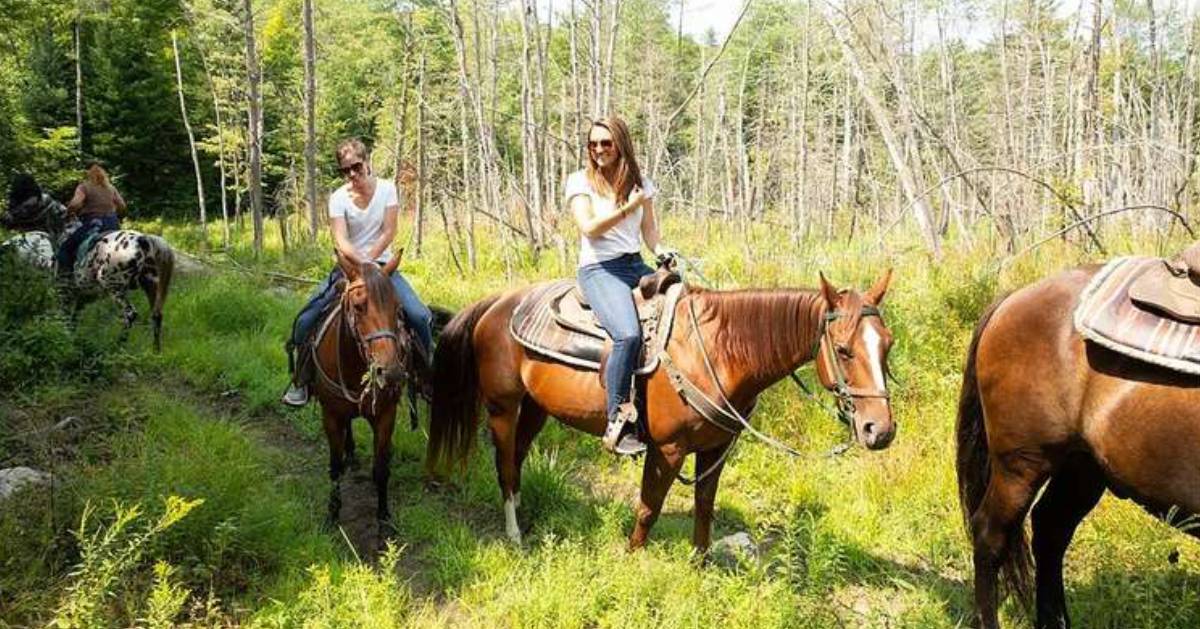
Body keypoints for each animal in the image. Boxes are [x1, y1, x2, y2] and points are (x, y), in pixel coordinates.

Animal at [0, 176, 174, 350]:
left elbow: (65, 320)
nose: (5, 219)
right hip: (150, 284)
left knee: (129, 315)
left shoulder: (64, 292)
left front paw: (65, 343)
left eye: (26, 205)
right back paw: (155, 351)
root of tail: (141, 239)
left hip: (114, 286)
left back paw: (118, 346)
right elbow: (73, 321)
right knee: (156, 315)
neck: (64, 232)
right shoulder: (82, 297)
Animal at [309, 253, 412, 528]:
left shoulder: (386, 415)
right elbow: (334, 466)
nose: (391, 372)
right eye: (358, 307)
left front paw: (384, 517)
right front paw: (332, 514)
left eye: (398, 309)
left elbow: (381, 469)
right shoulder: (331, 415)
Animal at [427, 270, 897, 549]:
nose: (880, 430)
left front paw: (699, 565)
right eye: (843, 350)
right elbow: (649, 509)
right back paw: (513, 533)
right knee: (505, 463)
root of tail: (496, 303)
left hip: (536, 408)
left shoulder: (716, 449)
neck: (716, 353)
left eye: (887, 345)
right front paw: (633, 559)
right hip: (502, 407)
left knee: (519, 456)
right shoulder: (666, 450)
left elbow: (705, 508)